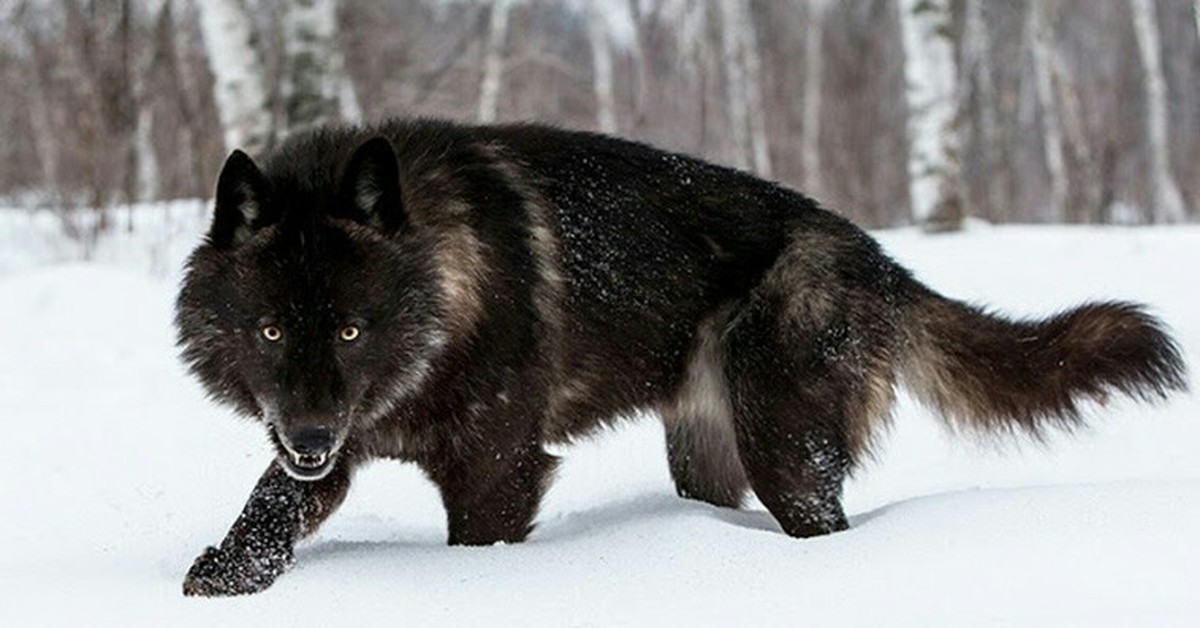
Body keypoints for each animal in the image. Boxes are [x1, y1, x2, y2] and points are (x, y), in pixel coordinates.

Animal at [174, 120, 1185, 597]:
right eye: (271, 332)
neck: (447, 283)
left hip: (786, 455)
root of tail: (876, 256)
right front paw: (222, 578)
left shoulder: (498, 471)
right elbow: (268, 509)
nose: (310, 434)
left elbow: (476, 546)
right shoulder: (329, 447)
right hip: (706, 458)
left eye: (352, 330)